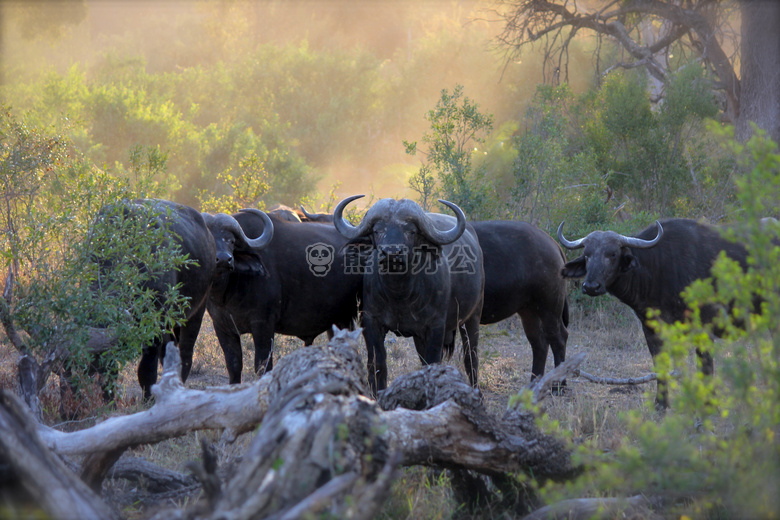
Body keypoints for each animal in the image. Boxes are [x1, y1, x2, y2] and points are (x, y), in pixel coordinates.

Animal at [204, 209, 362, 384]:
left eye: (231, 241)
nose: (224, 259)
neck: (227, 293)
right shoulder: (222, 328)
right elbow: (233, 366)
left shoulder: (263, 325)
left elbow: (262, 366)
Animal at [336, 195, 488, 394]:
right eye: (377, 230)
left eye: (411, 231)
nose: (391, 253)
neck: (400, 294)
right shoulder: (371, 322)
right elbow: (377, 364)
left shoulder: (436, 327)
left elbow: (433, 363)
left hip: (473, 316)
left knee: (471, 358)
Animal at [472, 221, 568, 384]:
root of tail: (552, 243)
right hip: (529, 311)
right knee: (540, 343)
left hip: (550, 309)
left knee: (559, 339)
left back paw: (559, 385)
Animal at [556, 217, 752, 408]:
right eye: (587, 255)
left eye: (612, 254)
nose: (591, 286)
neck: (658, 268)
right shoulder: (651, 330)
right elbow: (660, 364)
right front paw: (661, 403)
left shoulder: (704, 328)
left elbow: (706, 365)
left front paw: (708, 403)